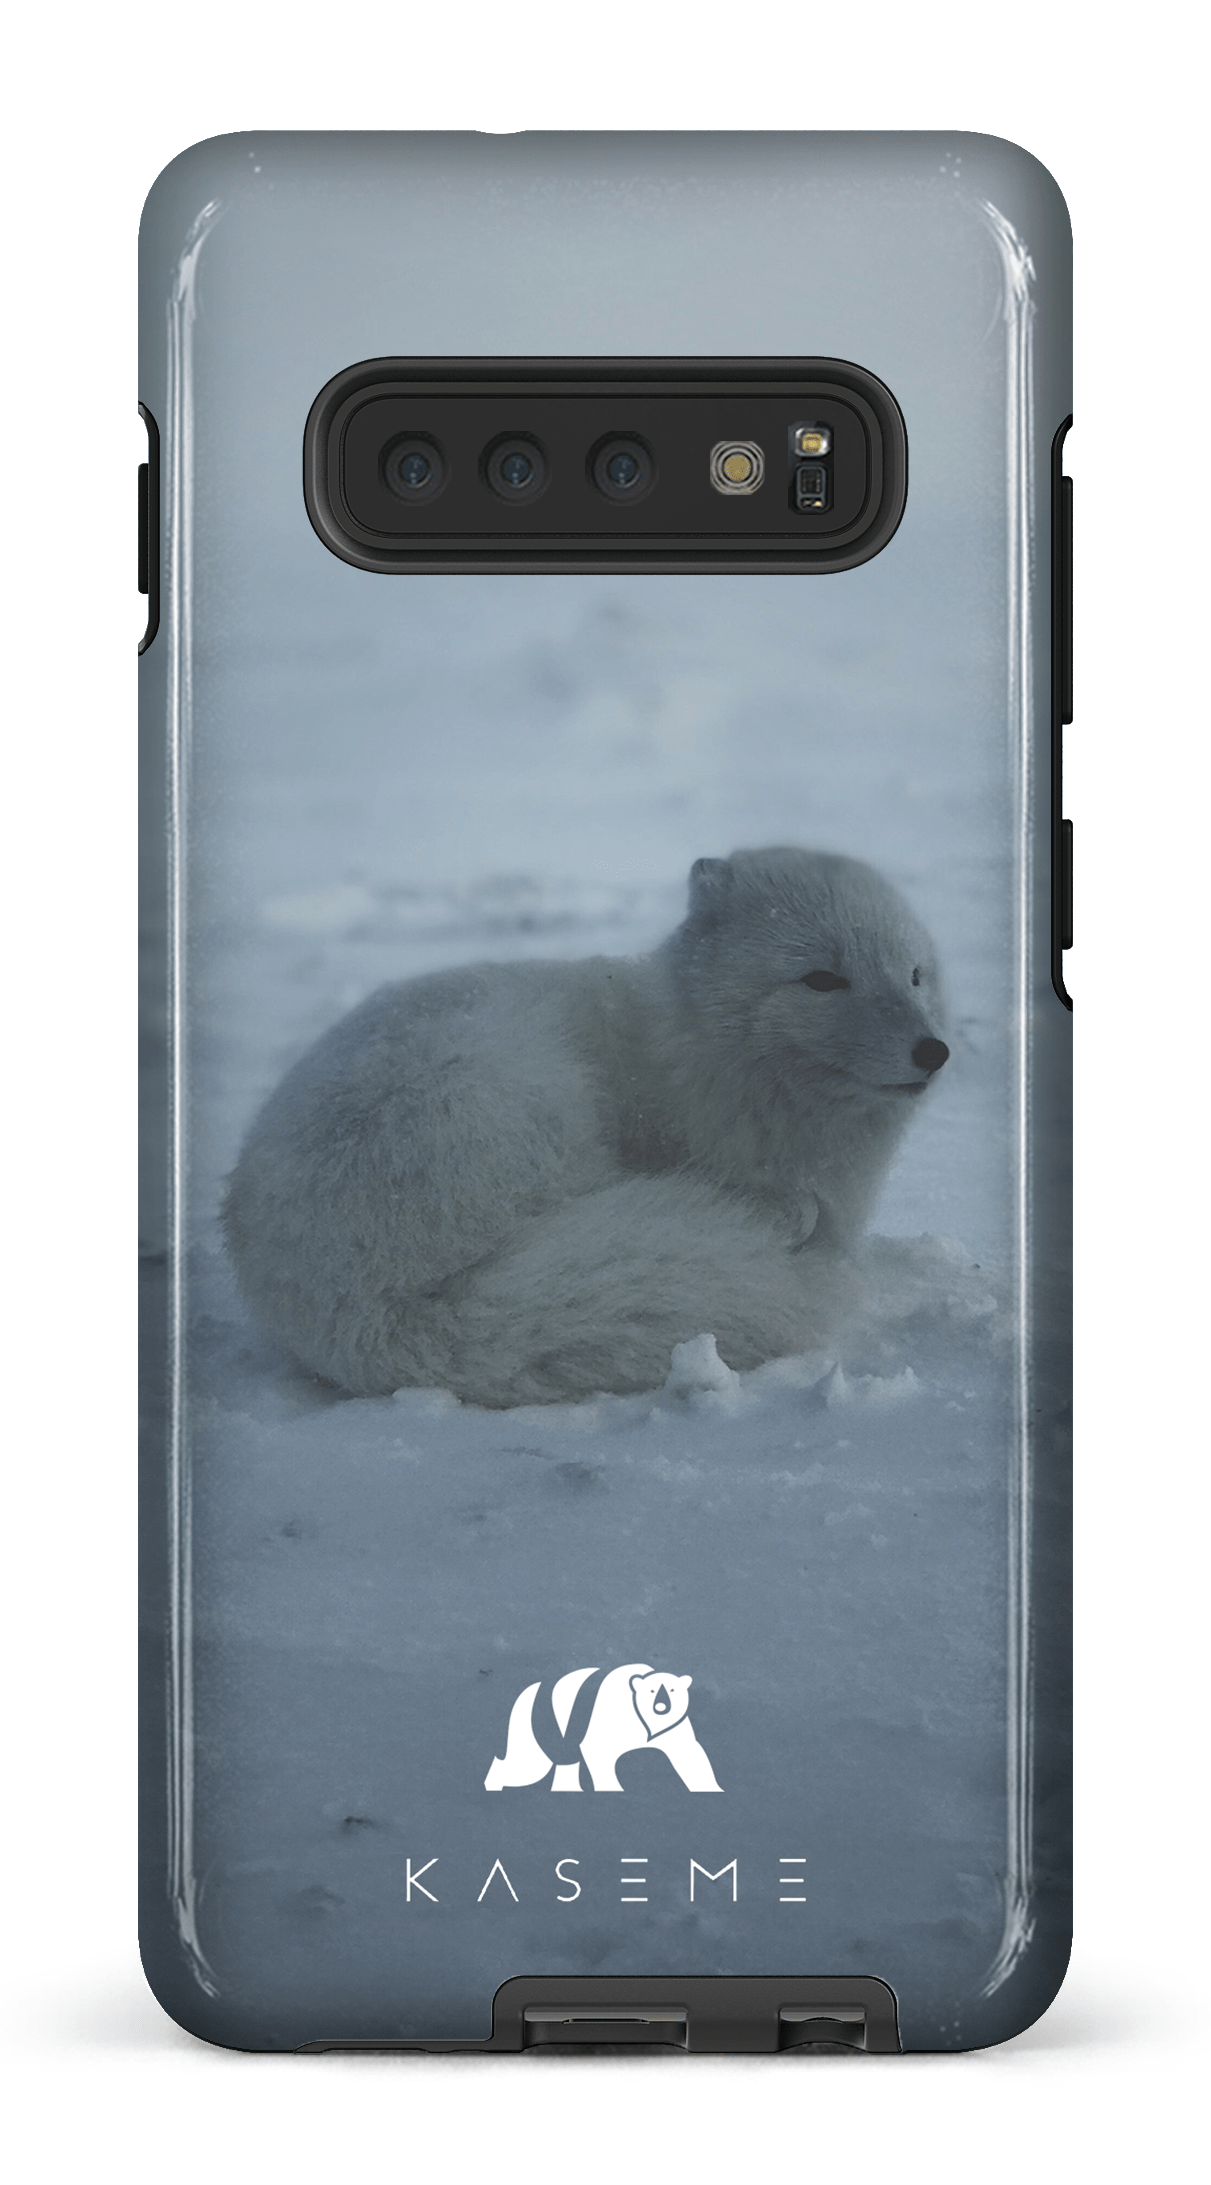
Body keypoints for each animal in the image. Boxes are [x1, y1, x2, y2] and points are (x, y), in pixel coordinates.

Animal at [223, 847, 949, 1406]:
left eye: (914, 974)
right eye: (821, 978)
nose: (933, 1050)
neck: (694, 1052)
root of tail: (374, 1313)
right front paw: (785, 1214)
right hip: (513, 1096)